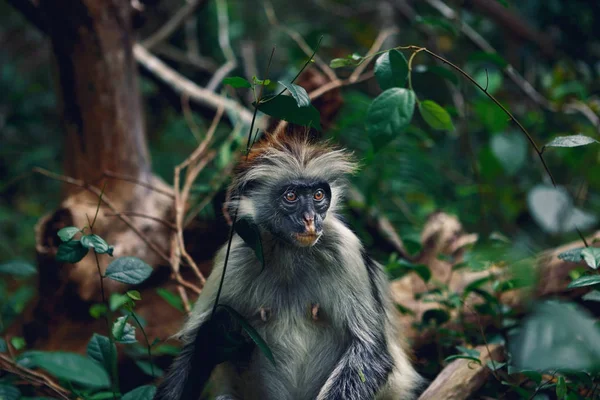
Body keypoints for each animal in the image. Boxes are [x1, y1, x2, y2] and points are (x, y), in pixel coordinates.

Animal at [155, 130, 422, 398]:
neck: (290, 251)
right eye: (291, 196)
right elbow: (194, 346)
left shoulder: (344, 248)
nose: (310, 219)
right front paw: (213, 340)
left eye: (318, 195)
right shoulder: (237, 254)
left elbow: (371, 353)